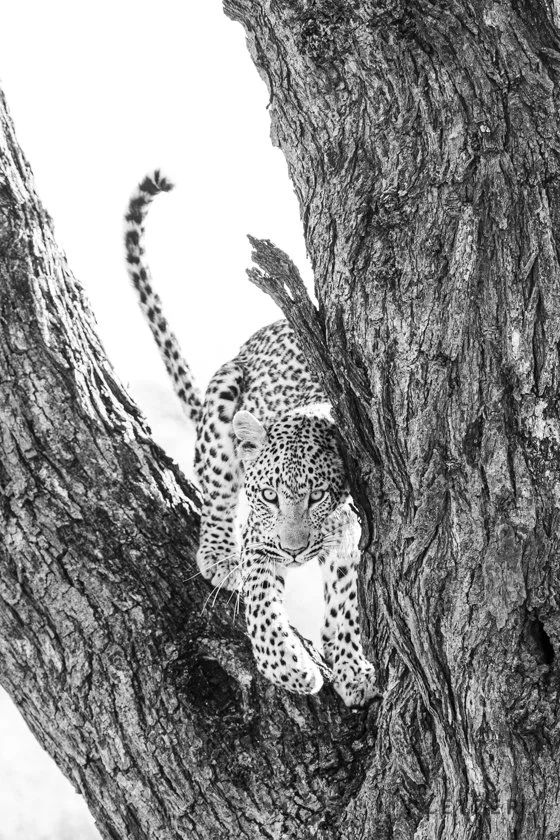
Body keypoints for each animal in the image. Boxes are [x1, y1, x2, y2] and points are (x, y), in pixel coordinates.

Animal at [124, 171, 377, 706]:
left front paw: (351, 665)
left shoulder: (352, 533)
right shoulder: (260, 540)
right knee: (217, 501)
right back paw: (219, 558)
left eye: (317, 496)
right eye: (269, 496)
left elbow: (345, 603)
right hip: (225, 393)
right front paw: (291, 669)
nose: (295, 551)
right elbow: (261, 601)